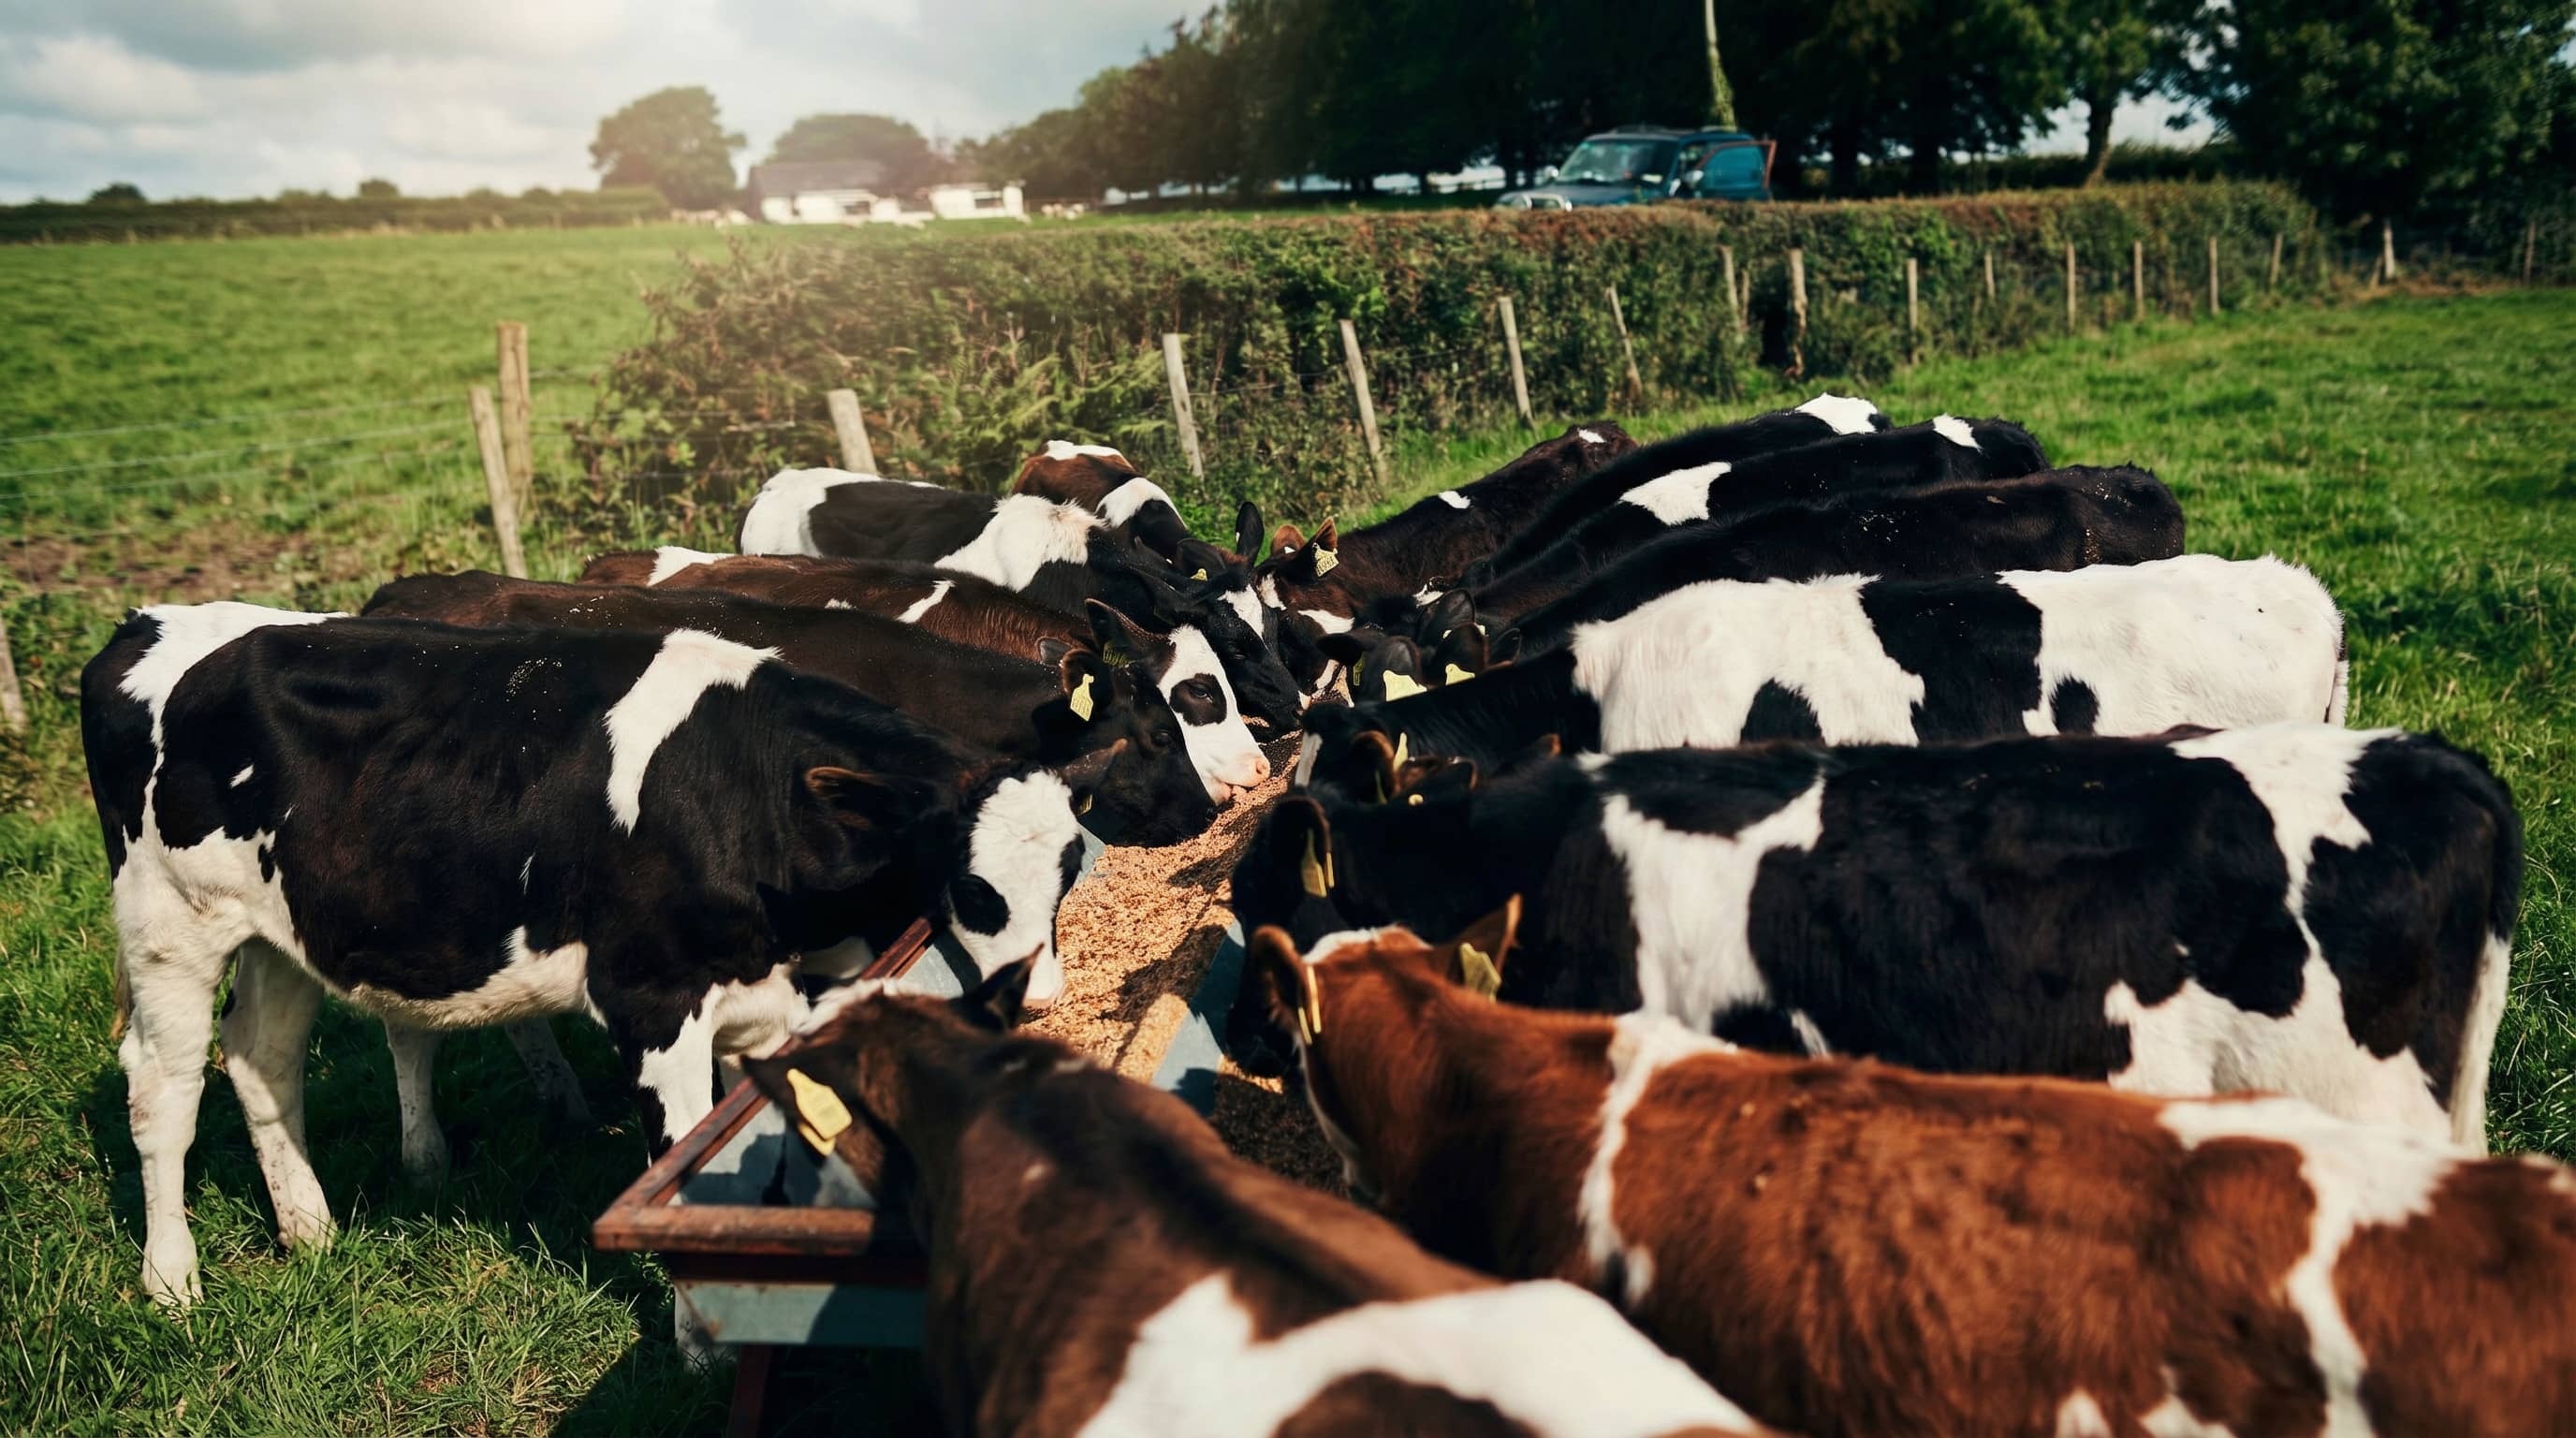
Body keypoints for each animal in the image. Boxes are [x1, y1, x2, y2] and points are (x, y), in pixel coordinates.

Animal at [83, 602, 1106, 1306]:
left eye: (1068, 869)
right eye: (972, 885)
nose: (1042, 997)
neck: (742, 796)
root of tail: (147, 624)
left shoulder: (771, 1006)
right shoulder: (652, 1004)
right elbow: (680, 1171)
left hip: (282, 932)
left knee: (262, 1057)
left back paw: (312, 1231)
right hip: (168, 928)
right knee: (162, 1093)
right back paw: (172, 1281)